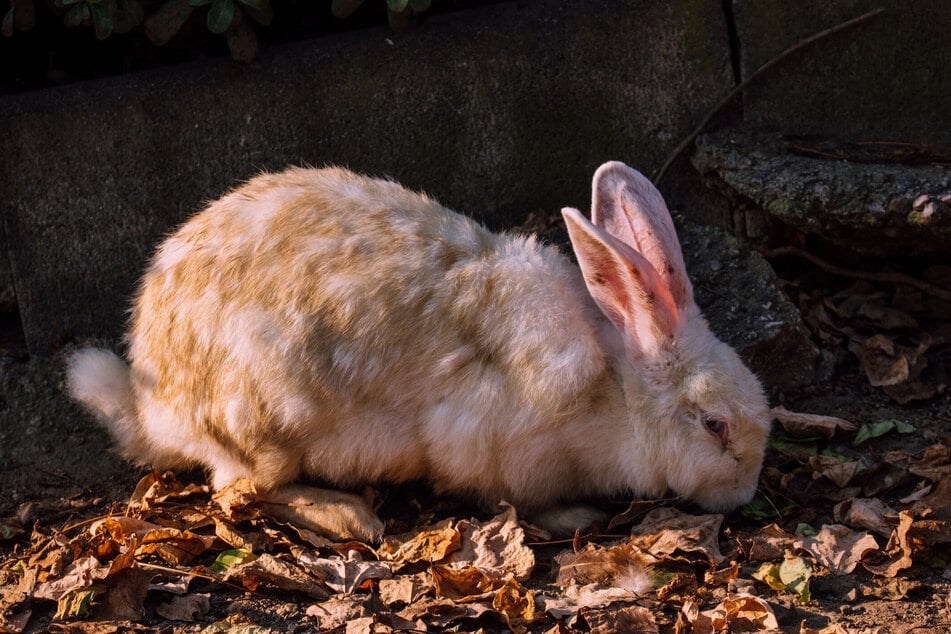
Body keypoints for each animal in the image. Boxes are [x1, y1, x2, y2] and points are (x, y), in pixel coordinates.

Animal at [67, 162, 771, 542]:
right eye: (715, 425)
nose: (743, 496)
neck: (613, 387)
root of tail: (154, 404)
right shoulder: (493, 447)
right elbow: (508, 495)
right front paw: (575, 514)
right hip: (267, 419)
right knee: (238, 491)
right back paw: (349, 516)